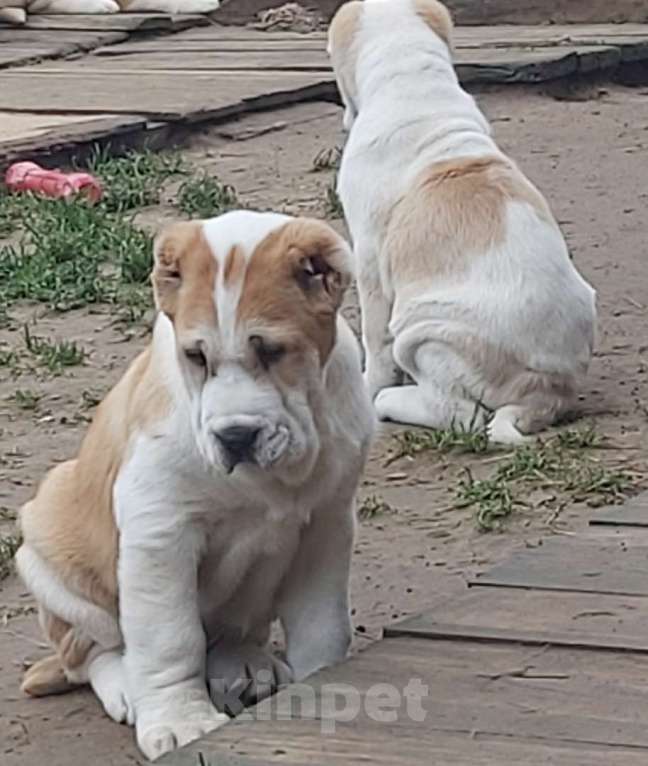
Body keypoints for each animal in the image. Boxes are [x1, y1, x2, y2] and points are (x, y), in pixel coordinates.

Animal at [15, 212, 374, 760]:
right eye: (196, 357)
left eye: (273, 351)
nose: (236, 436)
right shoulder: (160, 531)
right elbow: (170, 639)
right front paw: (180, 722)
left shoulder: (327, 522)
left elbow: (322, 624)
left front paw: (323, 681)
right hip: (48, 545)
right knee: (93, 652)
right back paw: (126, 686)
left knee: (227, 632)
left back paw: (245, 662)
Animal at [330, 0, 596, 444]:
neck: (412, 79)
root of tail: (546, 392)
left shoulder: (367, 257)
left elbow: (374, 337)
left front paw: (369, 388)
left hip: (427, 334)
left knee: (461, 415)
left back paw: (389, 401)